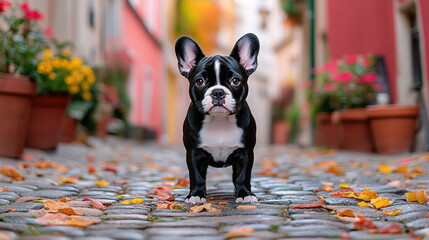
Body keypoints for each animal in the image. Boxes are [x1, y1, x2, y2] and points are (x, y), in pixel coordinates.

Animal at [174, 32, 258, 203]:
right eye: (200, 81)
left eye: (235, 81)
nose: (218, 92)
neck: (219, 120)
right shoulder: (193, 153)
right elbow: (197, 176)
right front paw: (196, 195)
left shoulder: (246, 152)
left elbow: (243, 176)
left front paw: (245, 194)